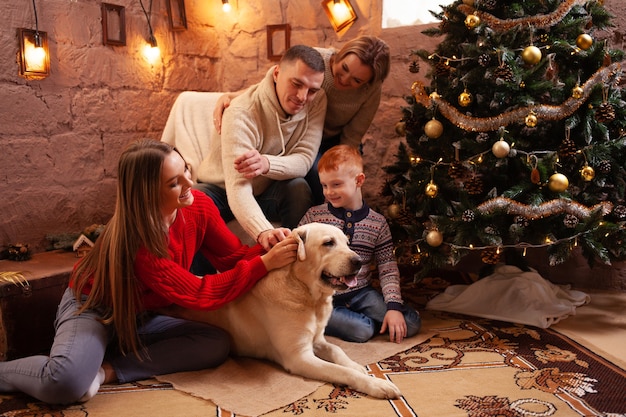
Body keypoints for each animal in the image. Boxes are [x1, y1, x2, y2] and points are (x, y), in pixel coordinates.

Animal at [171, 223, 400, 398]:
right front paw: (377, 384)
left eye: (346, 242)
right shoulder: (299, 356)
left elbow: (338, 350)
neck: (310, 298)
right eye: (328, 243)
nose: (359, 261)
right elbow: (341, 371)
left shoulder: (318, 340)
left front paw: (355, 365)